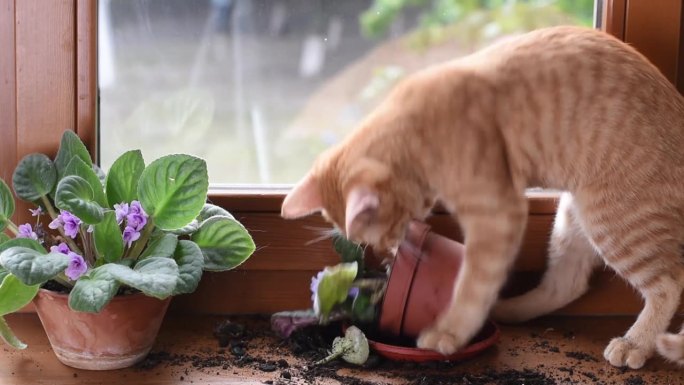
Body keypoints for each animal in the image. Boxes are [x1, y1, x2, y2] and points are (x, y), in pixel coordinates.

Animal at [280, 25, 684, 368]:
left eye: (380, 231)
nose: (387, 252)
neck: (418, 127)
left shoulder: (498, 213)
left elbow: (473, 283)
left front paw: (449, 333)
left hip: (611, 222)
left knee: (668, 283)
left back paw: (635, 343)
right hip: (572, 216)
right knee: (566, 284)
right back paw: (508, 310)